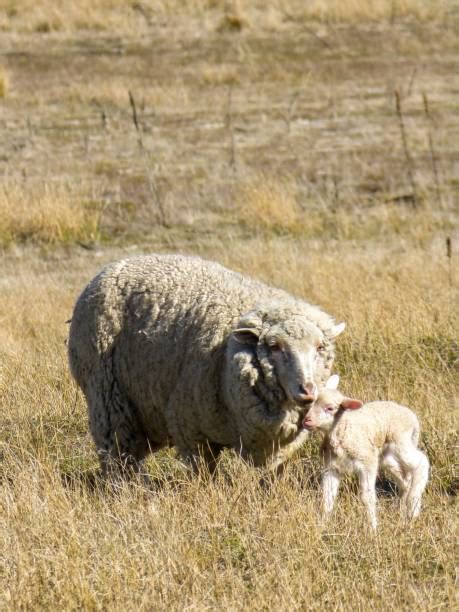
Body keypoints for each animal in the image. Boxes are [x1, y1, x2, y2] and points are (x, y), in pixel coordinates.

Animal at [66, 253, 344, 478]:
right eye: (275, 347)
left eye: (320, 348)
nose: (307, 390)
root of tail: (112, 267)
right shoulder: (191, 431)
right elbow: (205, 475)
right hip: (106, 394)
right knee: (117, 453)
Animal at [304, 376, 430, 528]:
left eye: (330, 408)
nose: (306, 420)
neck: (342, 431)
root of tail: (412, 416)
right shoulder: (331, 467)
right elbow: (328, 497)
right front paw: (323, 523)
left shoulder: (366, 462)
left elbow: (367, 497)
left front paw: (372, 527)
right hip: (385, 454)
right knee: (404, 477)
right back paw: (402, 507)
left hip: (400, 441)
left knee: (421, 462)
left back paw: (413, 509)